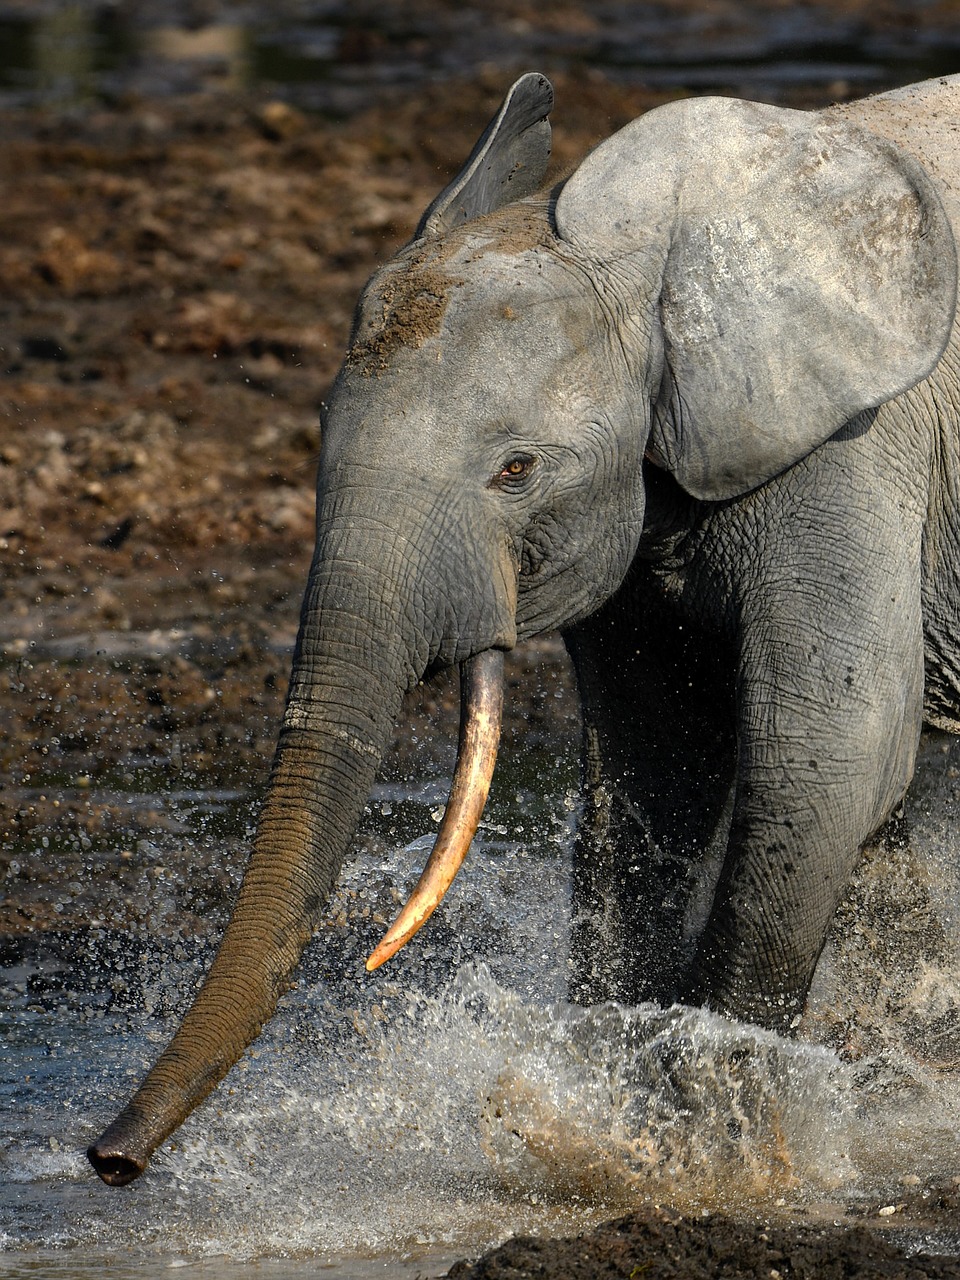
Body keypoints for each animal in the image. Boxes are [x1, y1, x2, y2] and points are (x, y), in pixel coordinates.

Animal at [88, 69, 960, 1185]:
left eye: (517, 470)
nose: (109, 1162)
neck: (655, 255)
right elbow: (655, 768)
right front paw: (617, 1111)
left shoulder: (852, 449)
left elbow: (829, 759)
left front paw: (709, 1128)